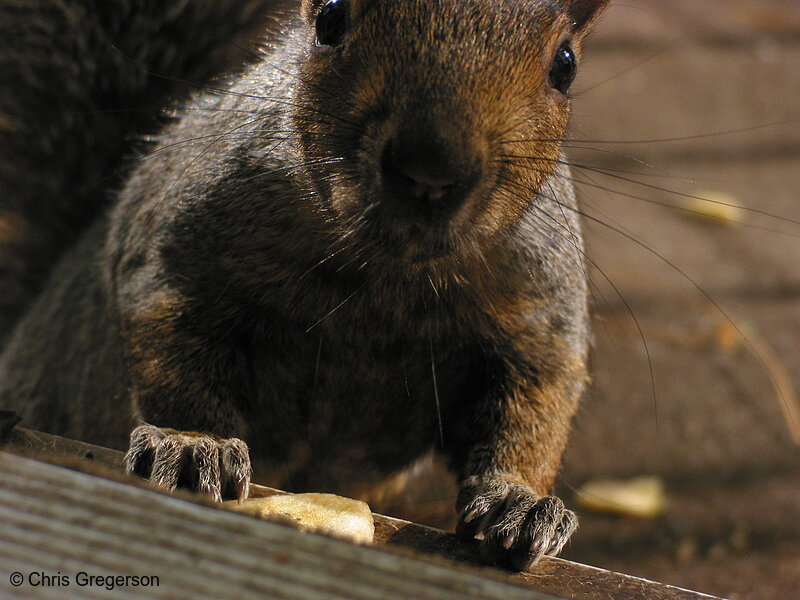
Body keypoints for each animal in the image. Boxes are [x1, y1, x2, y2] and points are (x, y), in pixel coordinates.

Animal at [0, 0, 608, 572]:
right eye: (331, 19)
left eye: (565, 65)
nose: (431, 167)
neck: (384, 271)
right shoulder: (173, 250)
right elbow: (173, 346)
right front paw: (194, 444)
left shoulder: (537, 309)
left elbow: (534, 402)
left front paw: (519, 502)